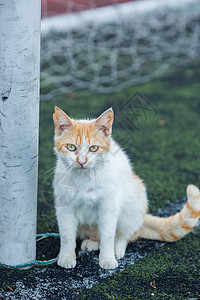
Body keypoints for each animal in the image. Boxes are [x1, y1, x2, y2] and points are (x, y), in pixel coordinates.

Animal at [53, 106, 200, 270]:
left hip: (132, 205)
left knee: (126, 234)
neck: (85, 180)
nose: (81, 161)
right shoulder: (64, 208)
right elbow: (67, 235)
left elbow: (108, 235)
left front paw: (108, 258)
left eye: (94, 148)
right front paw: (66, 257)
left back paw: (117, 248)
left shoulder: (109, 207)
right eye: (71, 147)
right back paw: (91, 242)